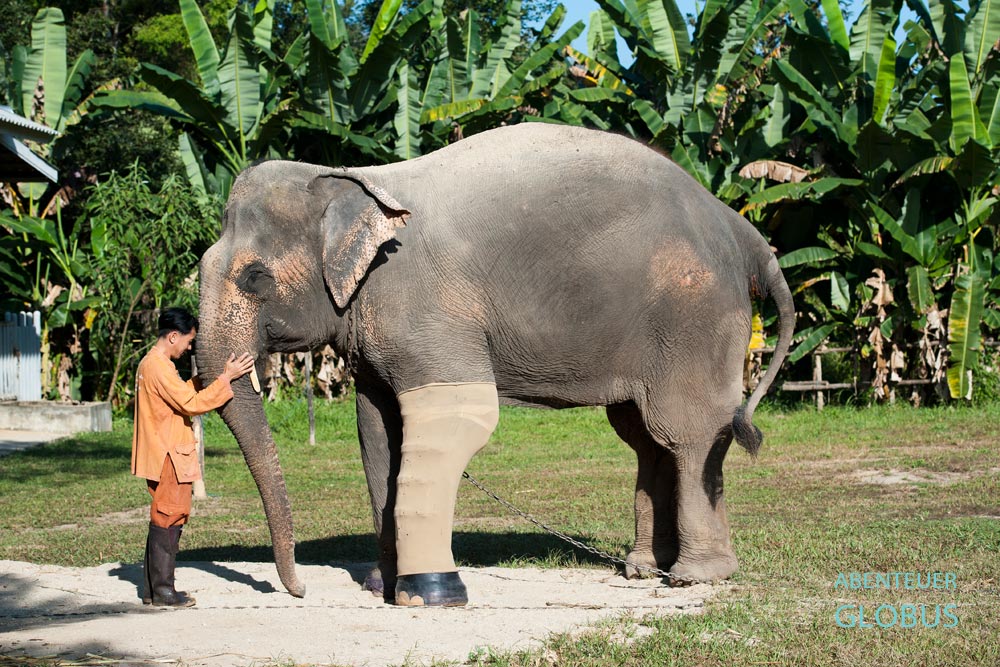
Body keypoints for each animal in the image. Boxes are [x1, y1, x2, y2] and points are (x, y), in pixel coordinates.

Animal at [196, 123, 794, 607]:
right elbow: (376, 431)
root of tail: (741, 229)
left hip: (694, 318)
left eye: (254, 277)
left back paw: (696, 578)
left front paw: (429, 595)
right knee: (644, 438)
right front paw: (380, 587)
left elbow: (457, 418)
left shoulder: (429, 307)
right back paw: (642, 569)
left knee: (687, 433)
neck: (358, 180)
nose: (297, 590)